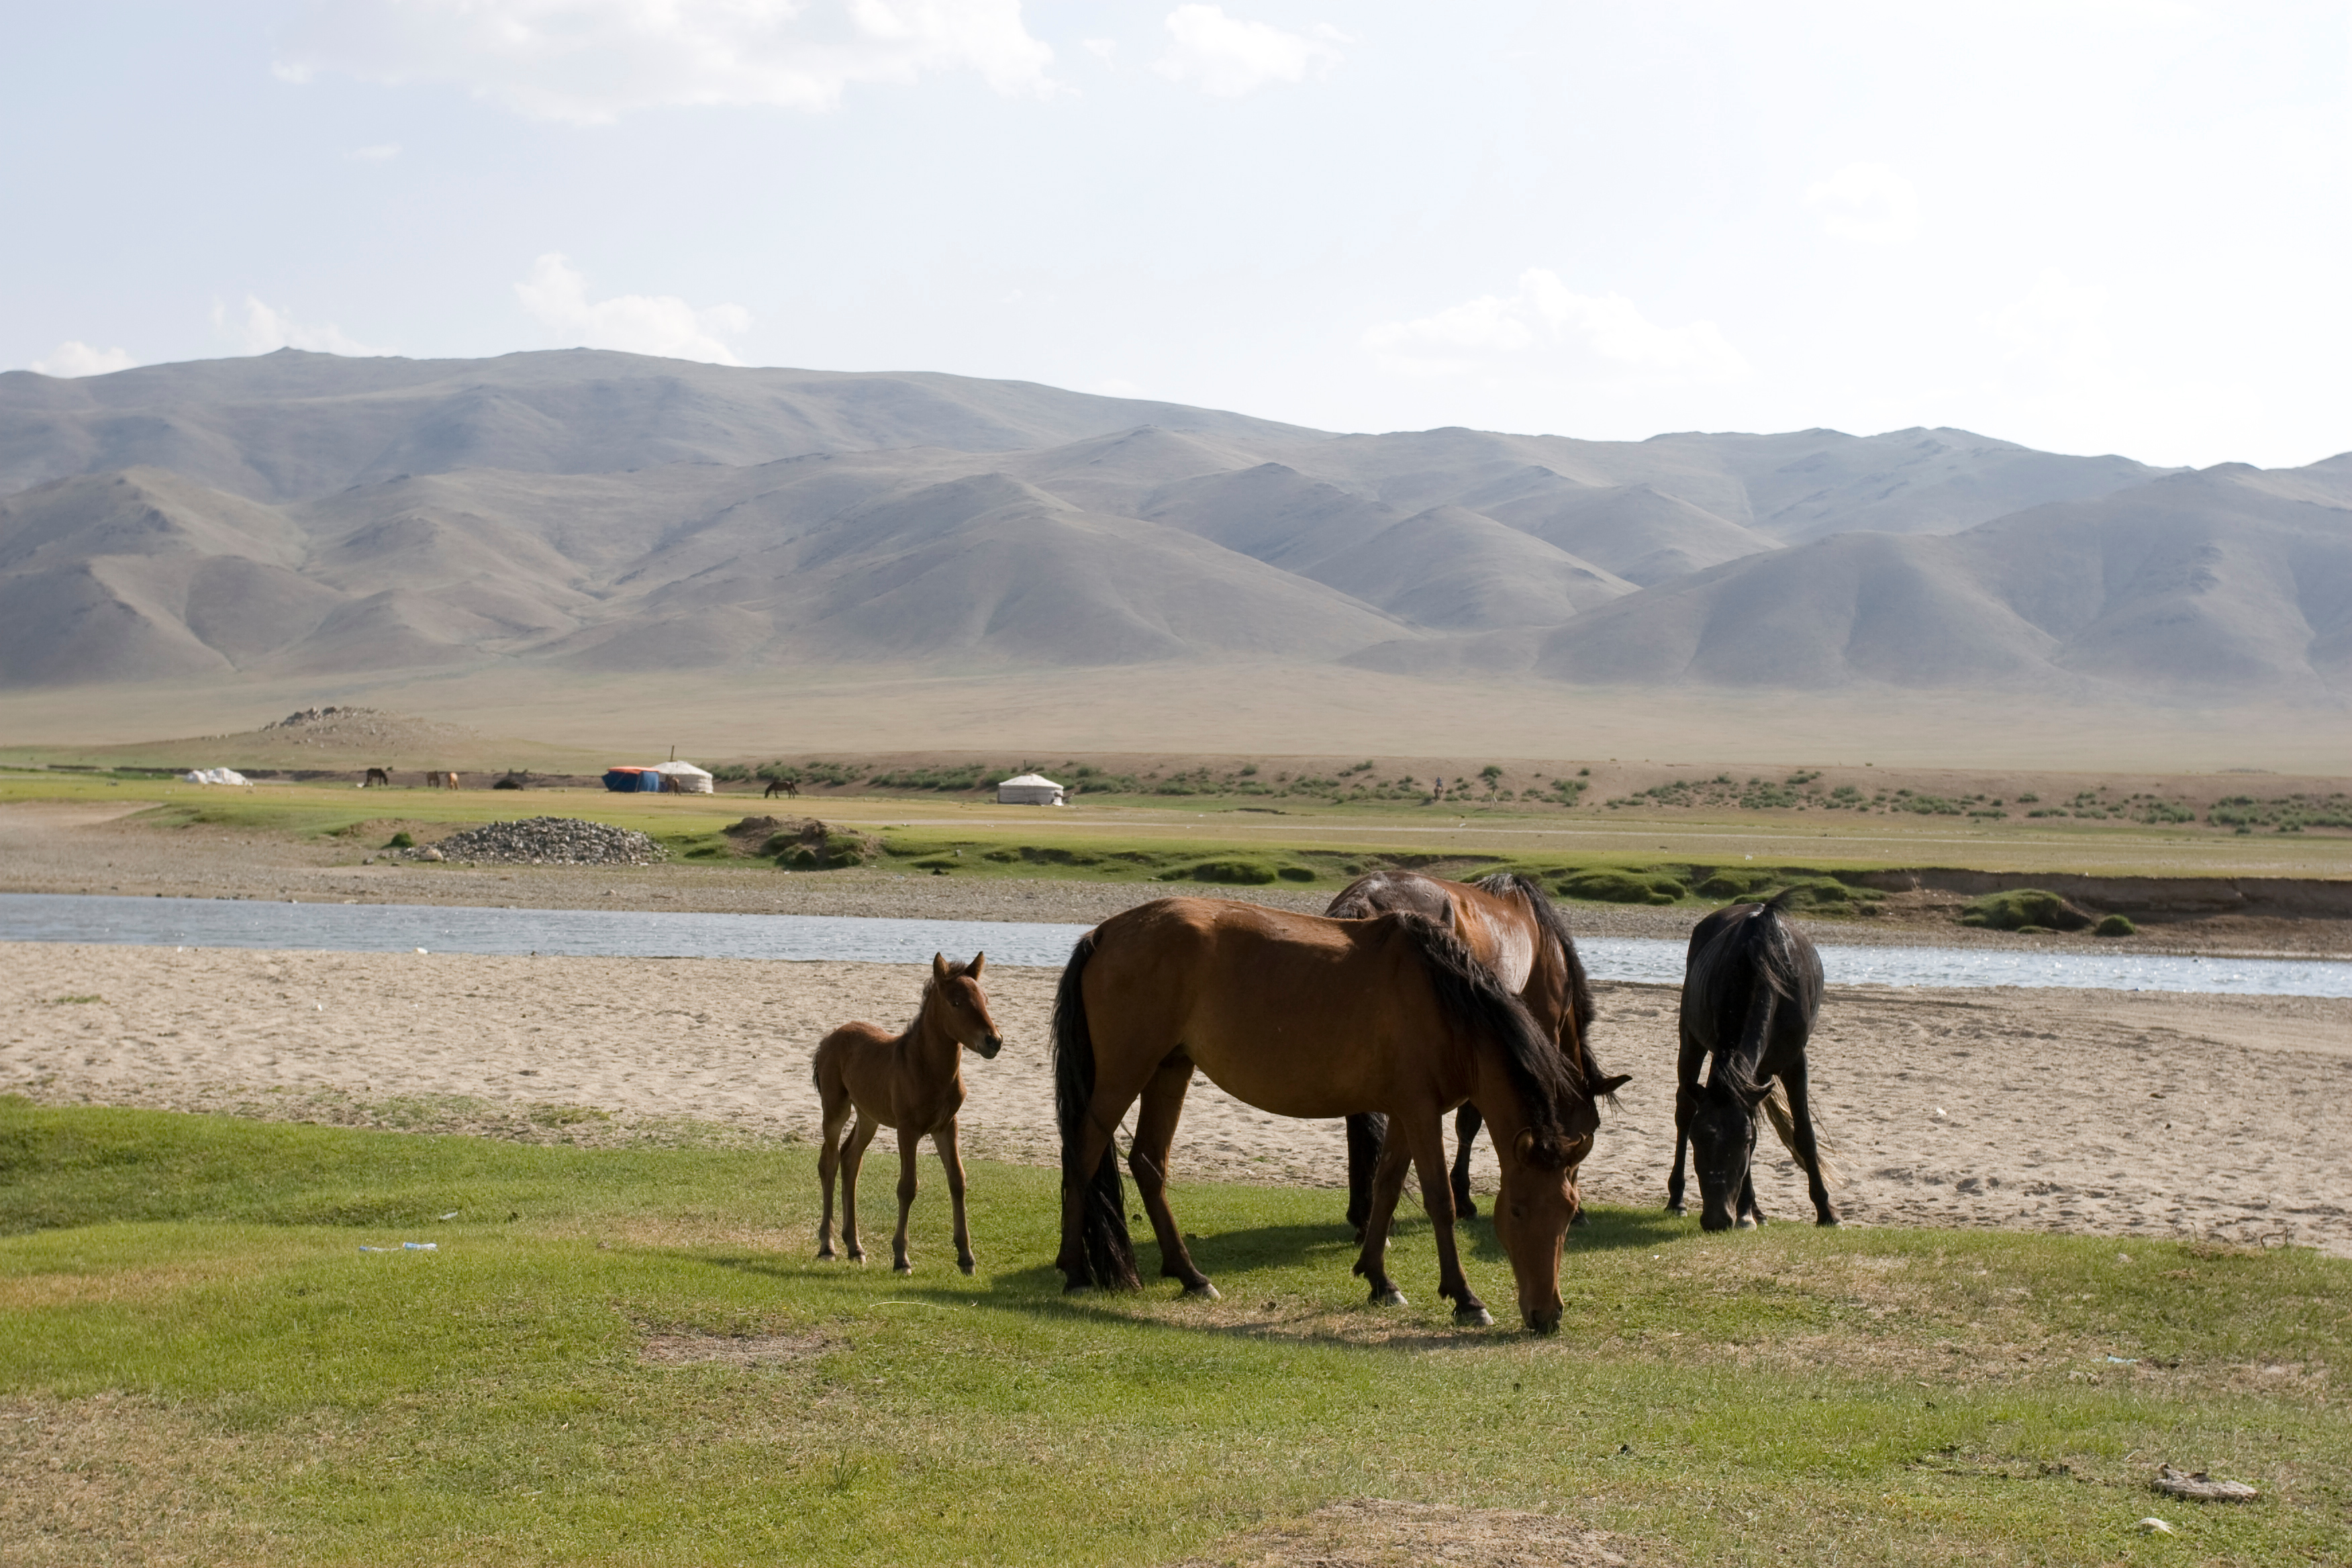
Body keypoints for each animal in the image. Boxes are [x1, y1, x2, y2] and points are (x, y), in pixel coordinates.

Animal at [814, 953, 1004, 1274]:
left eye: (986, 999)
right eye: (956, 1002)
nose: (994, 1041)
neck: (929, 1070)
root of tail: (830, 1037)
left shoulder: (947, 1126)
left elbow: (958, 1180)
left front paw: (966, 1257)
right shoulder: (908, 1130)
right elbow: (907, 1187)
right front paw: (901, 1258)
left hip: (869, 1116)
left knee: (851, 1159)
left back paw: (855, 1247)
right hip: (835, 1109)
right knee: (829, 1162)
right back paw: (827, 1247)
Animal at [1052, 898, 1596, 1332]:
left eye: (1568, 1213)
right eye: (1518, 1211)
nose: (1547, 1315)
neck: (1446, 1004)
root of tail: (1104, 933)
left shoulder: (1406, 1113)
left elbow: (1386, 1188)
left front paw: (1379, 1279)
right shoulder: (1422, 1114)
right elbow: (1439, 1201)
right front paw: (1465, 1299)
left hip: (1170, 1069)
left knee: (1147, 1163)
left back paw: (1190, 1276)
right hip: (1125, 1072)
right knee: (1083, 1154)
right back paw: (1076, 1272)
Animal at [1328, 872, 1622, 1233]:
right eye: (1591, 1128)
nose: (1576, 1208)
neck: (1546, 945)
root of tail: (1361, 900)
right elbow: (1470, 1123)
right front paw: (1464, 1198)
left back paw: (1362, 1213)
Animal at [1666, 892, 1840, 1230]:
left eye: (1743, 1142)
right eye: (1697, 1139)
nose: (1716, 1219)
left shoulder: (1794, 1062)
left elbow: (1803, 1134)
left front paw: (1826, 1211)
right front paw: (1746, 1212)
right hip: (1690, 1039)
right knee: (1683, 1109)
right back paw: (1678, 1200)